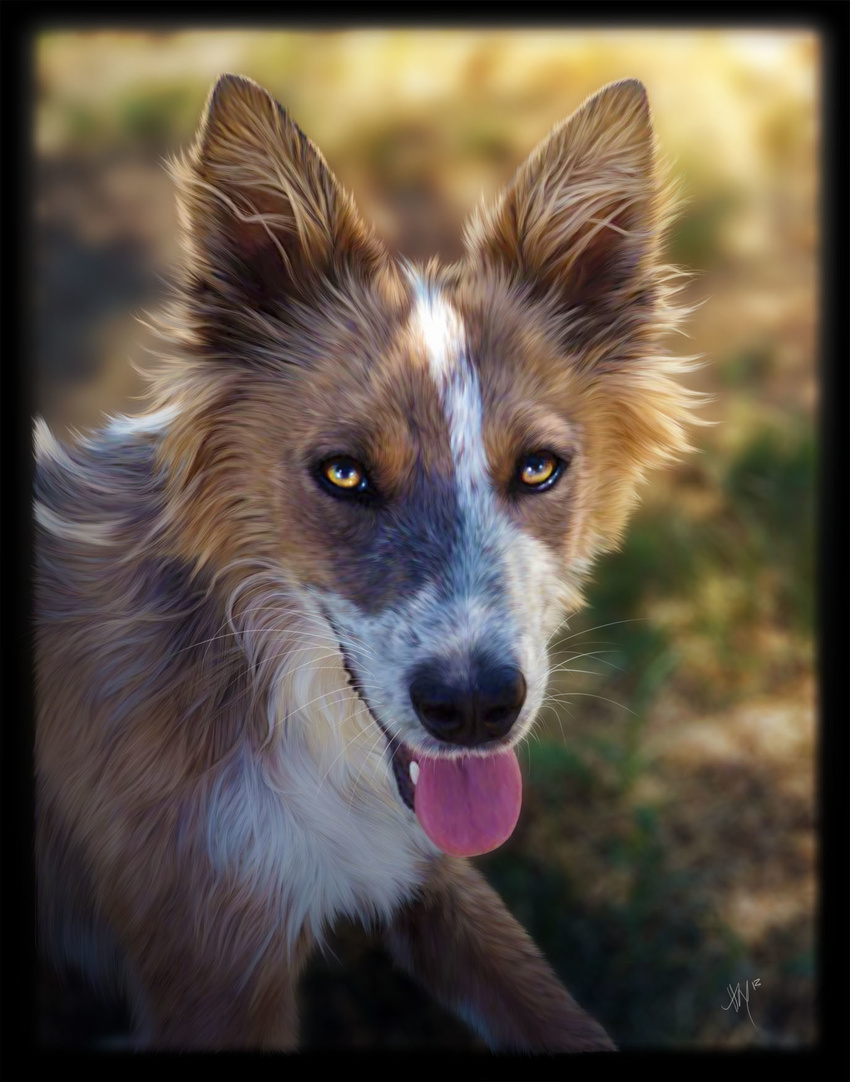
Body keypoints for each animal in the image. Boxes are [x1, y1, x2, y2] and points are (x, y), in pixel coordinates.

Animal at [34, 74, 696, 1047]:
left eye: (538, 467)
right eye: (344, 473)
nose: (474, 710)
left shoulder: (428, 866)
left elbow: (561, 1016)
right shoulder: (214, 970)